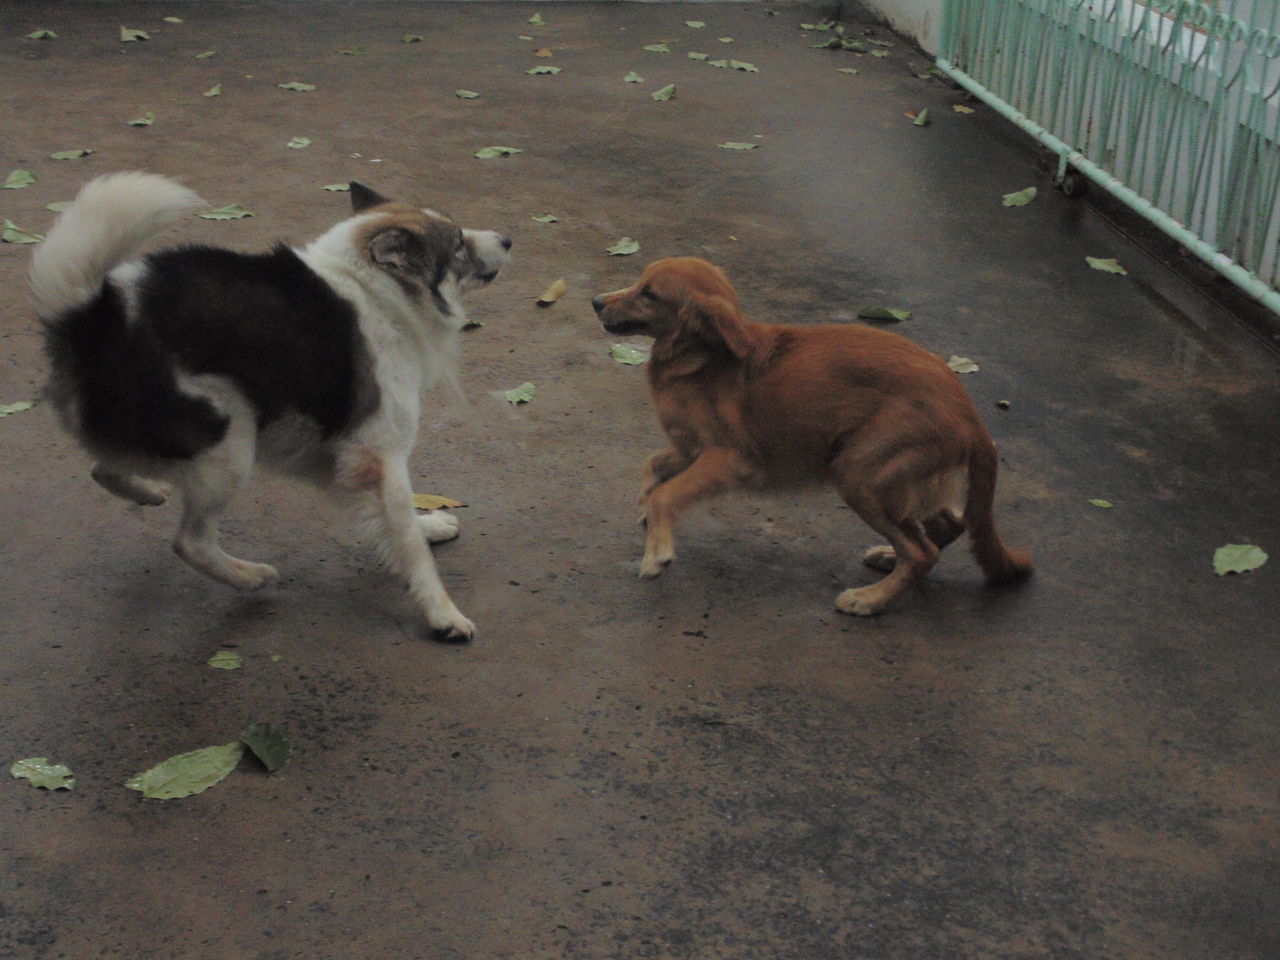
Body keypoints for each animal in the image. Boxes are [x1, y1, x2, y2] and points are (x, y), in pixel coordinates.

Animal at [33, 175, 509, 640]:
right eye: (458, 243)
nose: (506, 239)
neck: (377, 290)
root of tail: (93, 320)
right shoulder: (381, 453)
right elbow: (409, 542)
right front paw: (442, 612)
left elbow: (401, 517)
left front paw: (429, 525)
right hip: (229, 440)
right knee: (190, 541)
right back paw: (250, 577)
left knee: (103, 467)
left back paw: (147, 492)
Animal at [588, 257, 1029, 616]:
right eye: (639, 280)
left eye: (649, 293)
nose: (595, 301)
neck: (699, 357)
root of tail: (970, 414)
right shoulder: (690, 449)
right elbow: (652, 465)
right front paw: (646, 510)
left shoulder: (728, 458)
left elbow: (666, 493)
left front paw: (657, 553)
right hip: (901, 477)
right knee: (947, 526)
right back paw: (889, 557)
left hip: (859, 473)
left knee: (922, 553)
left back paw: (869, 600)